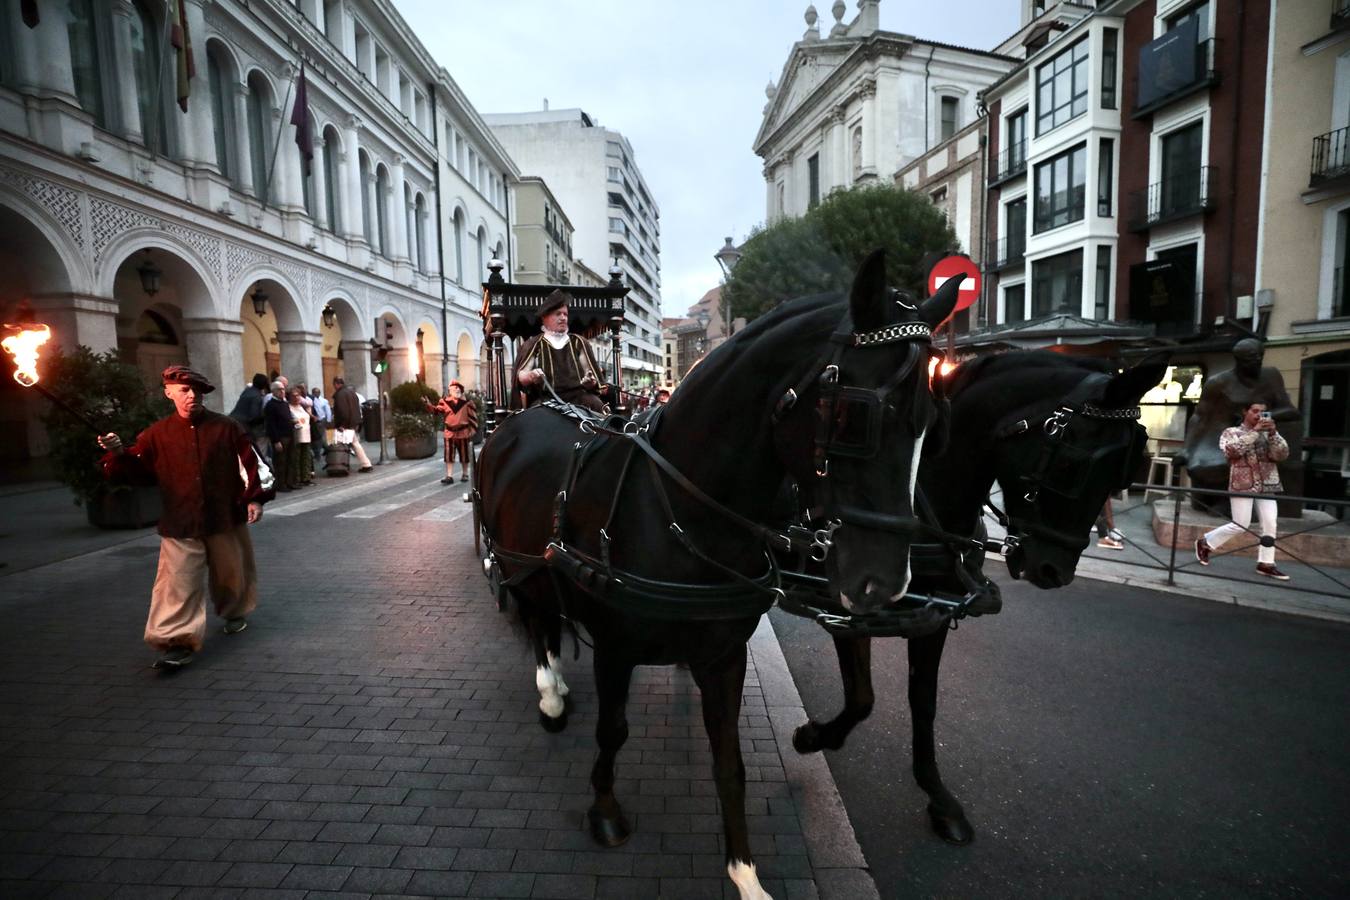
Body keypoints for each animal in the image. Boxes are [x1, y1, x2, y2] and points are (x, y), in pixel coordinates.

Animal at [480, 252, 966, 900]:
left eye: (934, 423)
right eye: (855, 415)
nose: (883, 583)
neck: (677, 508)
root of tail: (525, 416)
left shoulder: (723, 655)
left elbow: (729, 760)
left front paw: (744, 871)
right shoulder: (615, 649)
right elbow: (613, 730)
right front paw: (604, 810)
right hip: (515, 562)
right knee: (537, 620)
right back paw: (551, 692)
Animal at [793, 350, 1166, 847]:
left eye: (1123, 472)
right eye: (1073, 466)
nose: (1055, 571)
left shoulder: (933, 618)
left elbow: (924, 702)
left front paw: (939, 797)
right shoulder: (846, 610)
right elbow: (862, 698)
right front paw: (813, 737)